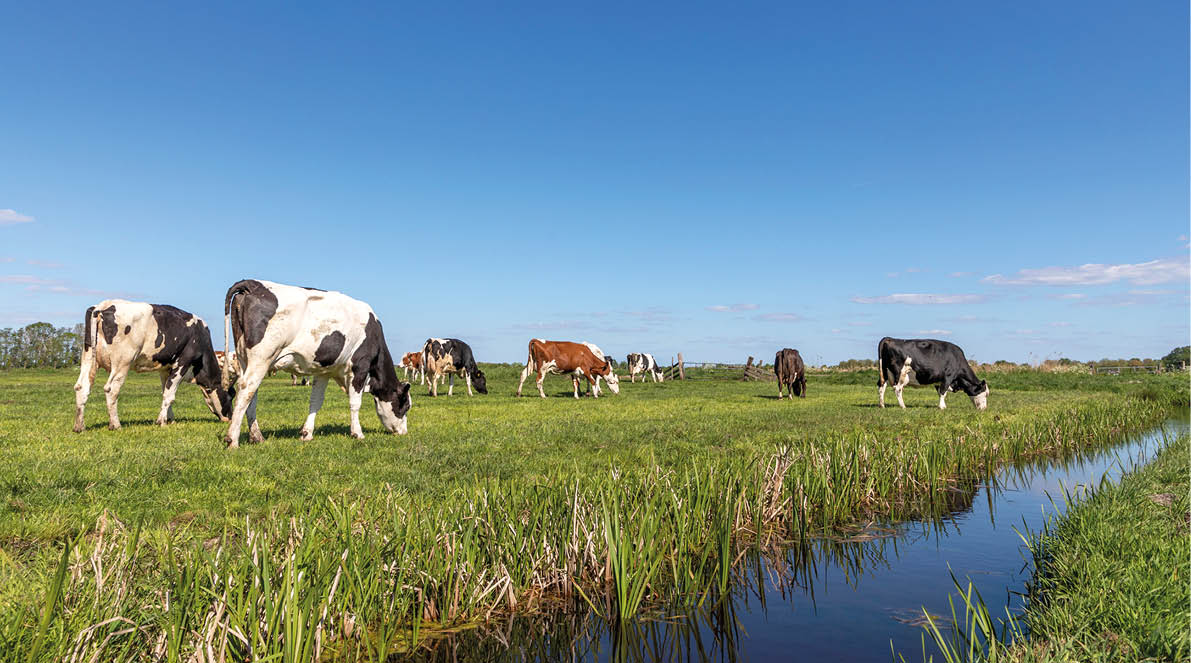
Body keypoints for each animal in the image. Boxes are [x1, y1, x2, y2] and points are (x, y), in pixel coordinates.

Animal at [73, 301, 233, 432]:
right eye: (231, 396)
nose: (230, 417)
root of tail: (102, 307)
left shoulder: (165, 369)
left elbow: (165, 391)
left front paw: (170, 419)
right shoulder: (183, 362)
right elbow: (170, 395)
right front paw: (161, 421)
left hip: (88, 357)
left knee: (82, 387)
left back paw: (79, 426)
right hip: (122, 361)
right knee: (111, 389)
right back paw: (115, 425)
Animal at [221, 280, 412, 448]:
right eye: (405, 405)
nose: (404, 432)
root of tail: (253, 284)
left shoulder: (323, 372)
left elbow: (316, 400)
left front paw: (307, 433)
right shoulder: (359, 367)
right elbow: (355, 403)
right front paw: (357, 433)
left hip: (245, 359)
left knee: (251, 394)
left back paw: (257, 437)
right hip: (262, 356)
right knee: (247, 389)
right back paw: (233, 440)